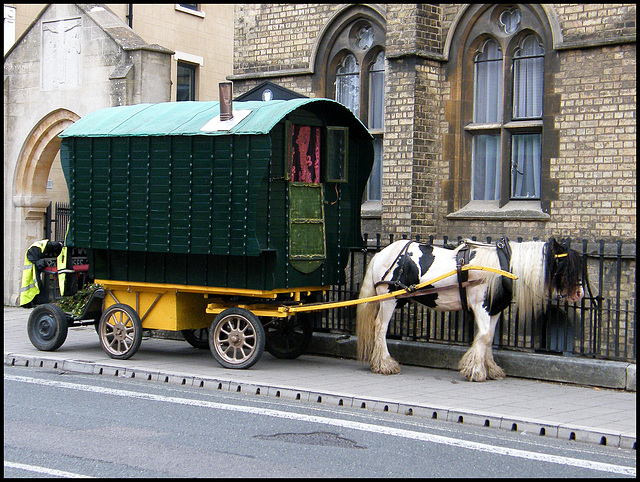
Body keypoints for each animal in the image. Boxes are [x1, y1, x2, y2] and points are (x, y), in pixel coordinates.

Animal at [356, 236, 584, 380]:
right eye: (566, 266)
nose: (580, 294)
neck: (503, 267)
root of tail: (381, 253)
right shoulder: (480, 305)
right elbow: (483, 336)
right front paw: (475, 370)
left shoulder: (495, 309)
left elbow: (489, 337)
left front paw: (490, 368)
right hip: (389, 299)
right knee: (380, 328)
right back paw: (385, 364)